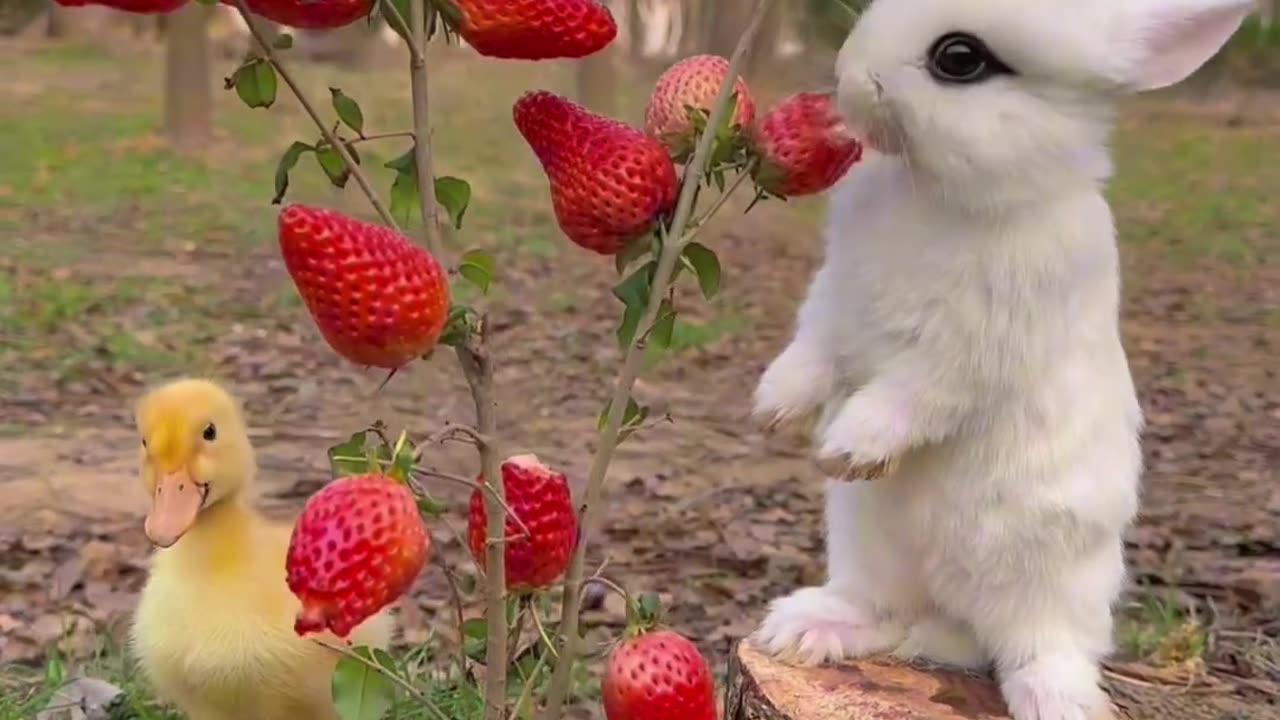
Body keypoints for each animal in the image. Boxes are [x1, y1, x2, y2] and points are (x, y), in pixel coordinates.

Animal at [747, 1, 1254, 717]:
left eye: (960, 59)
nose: (848, 76)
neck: (941, 194)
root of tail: (950, 615)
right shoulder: (837, 296)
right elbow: (814, 347)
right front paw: (773, 408)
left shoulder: (975, 349)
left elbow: (913, 394)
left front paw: (847, 450)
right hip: (870, 546)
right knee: (884, 611)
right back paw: (806, 628)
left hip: (1048, 577)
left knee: (1041, 648)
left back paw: (1057, 699)